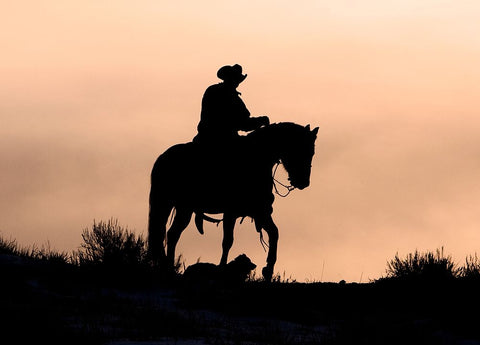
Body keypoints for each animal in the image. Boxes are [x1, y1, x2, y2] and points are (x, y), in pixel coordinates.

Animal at [148, 121, 316, 280]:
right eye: (302, 149)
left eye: (312, 152)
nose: (304, 182)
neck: (256, 160)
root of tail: (163, 157)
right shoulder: (231, 212)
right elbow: (227, 241)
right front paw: (222, 269)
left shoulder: (260, 212)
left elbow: (274, 233)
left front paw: (268, 270)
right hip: (173, 205)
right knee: (169, 234)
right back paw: (168, 268)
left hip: (182, 208)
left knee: (172, 234)